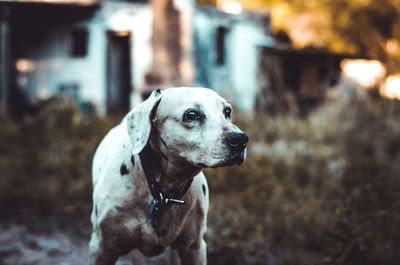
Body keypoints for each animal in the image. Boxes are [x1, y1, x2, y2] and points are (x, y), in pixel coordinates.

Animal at [89, 87, 248, 262]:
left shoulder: (194, 247)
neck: (161, 192)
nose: (240, 139)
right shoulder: (102, 248)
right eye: (192, 114)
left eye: (227, 111)